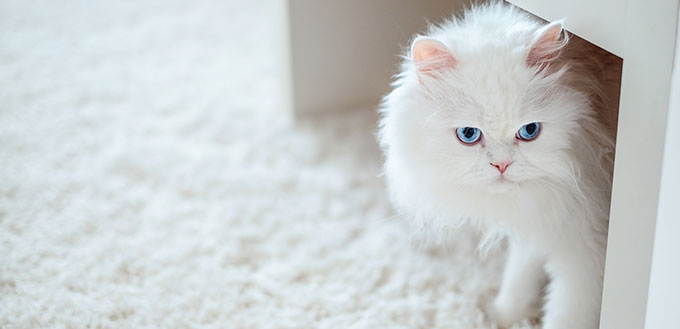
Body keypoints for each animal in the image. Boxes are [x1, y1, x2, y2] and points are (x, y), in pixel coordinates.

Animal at [380, 2, 620, 328]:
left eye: (529, 131)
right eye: (469, 134)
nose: (502, 165)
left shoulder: (585, 253)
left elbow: (565, 313)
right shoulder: (544, 216)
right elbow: (520, 274)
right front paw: (505, 317)